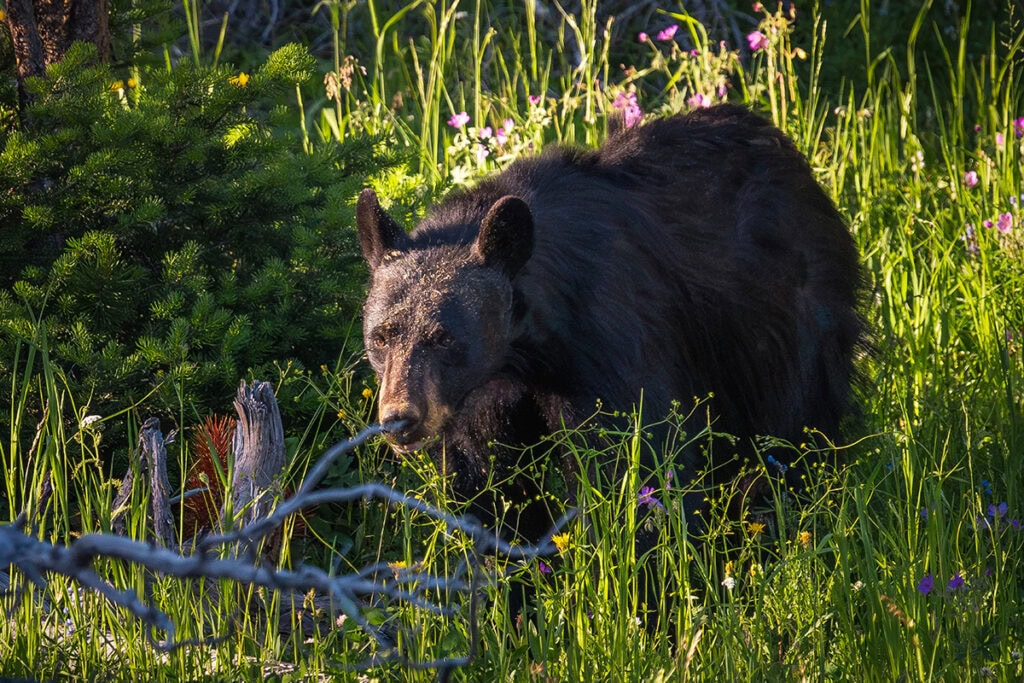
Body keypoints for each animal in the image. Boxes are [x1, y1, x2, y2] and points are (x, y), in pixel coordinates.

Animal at [356, 104, 862, 542]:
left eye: (444, 337)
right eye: (380, 337)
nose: (399, 420)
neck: (529, 347)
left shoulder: (611, 340)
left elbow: (636, 463)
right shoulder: (477, 397)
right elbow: (489, 483)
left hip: (783, 317)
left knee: (790, 424)